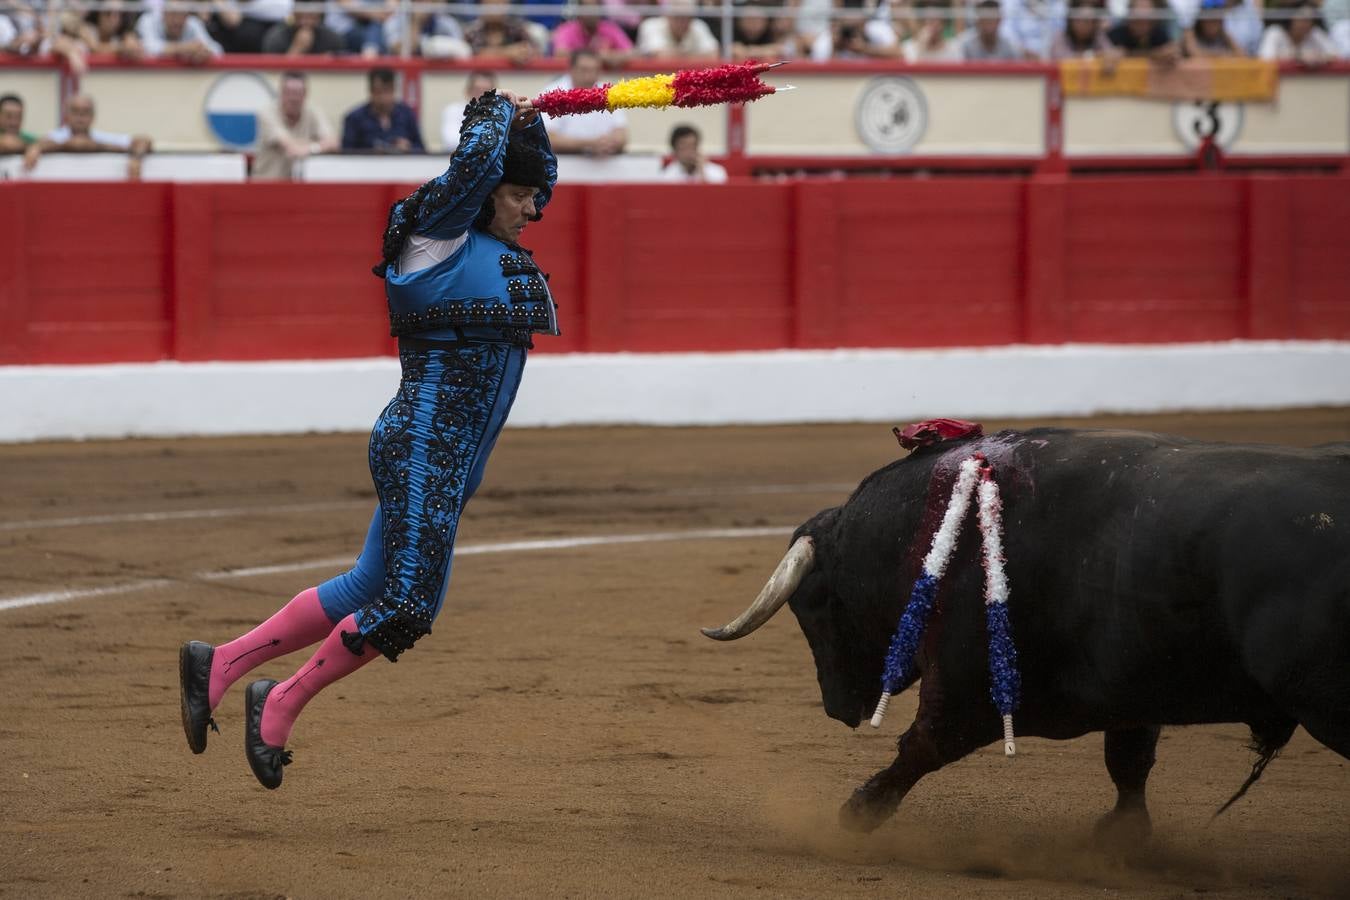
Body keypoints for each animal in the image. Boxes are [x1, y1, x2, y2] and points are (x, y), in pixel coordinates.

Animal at [702, 429, 1344, 836]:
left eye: (812, 607)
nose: (839, 710)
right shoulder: (1133, 682)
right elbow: (1129, 761)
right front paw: (1121, 838)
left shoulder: (968, 685)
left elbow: (922, 746)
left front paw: (854, 815)